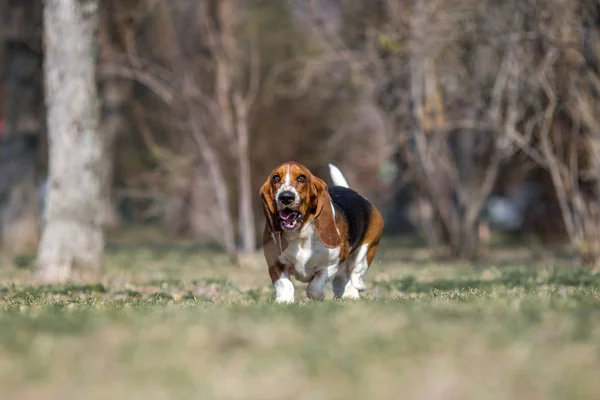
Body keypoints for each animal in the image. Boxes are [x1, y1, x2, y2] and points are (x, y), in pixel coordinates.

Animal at [258, 161, 384, 302]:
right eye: (275, 178)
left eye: (302, 178)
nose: (285, 197)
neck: (300, 235)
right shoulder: (276, 264)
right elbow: (284, 284)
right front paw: (284, 300)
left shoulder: (331, 264)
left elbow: (316, 287)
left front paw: (315, 296)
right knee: (343, 277)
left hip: (367, 248)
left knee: (356, 271)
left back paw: (357, 287)